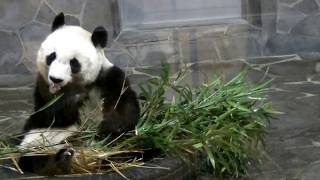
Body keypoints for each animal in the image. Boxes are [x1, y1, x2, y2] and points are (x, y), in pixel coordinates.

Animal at [17, 12, 140, 174]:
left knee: (130, 152)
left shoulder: (108, 77)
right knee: (33, 159)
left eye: (74, 63)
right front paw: (73, 98)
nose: (56, 79)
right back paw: (62, 159)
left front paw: (113, 127)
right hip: (38, 142)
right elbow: (47, 115)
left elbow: (123, 105)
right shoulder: (42, 87)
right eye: (51, 56)